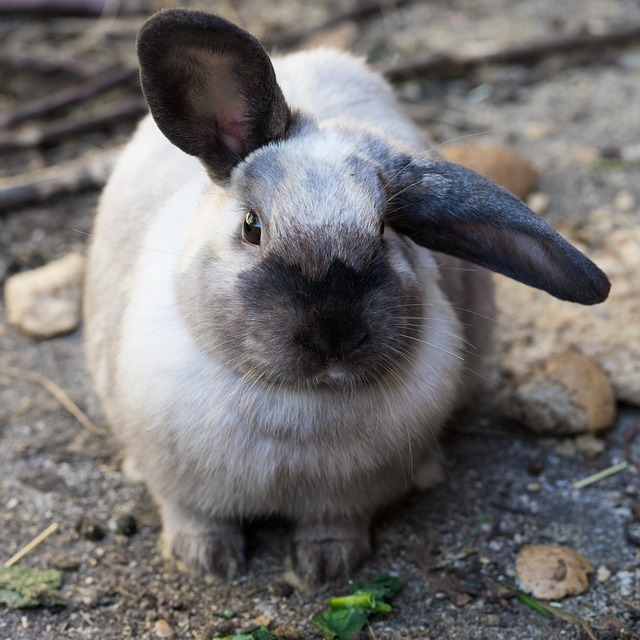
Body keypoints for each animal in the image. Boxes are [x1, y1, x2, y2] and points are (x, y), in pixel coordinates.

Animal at [85, 8, 608, 592]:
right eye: (252, 227)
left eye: (384, 232)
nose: (333, 337)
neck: (295, 404)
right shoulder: (183, 486)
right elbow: (195, 517)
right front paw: (206, 562)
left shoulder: (347, 499)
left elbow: (334, 526)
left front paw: (325, 570)